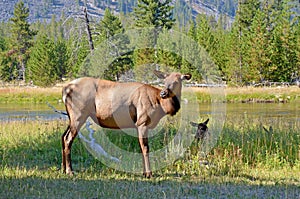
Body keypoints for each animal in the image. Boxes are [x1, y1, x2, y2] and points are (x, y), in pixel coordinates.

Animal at [61, 70, 191, 177]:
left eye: (176, 81)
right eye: (164, 81)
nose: (163, 93)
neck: (160, 106)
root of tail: (65, 89)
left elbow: (141, 147)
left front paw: (144, 172)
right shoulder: (142, 122)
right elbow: (145, 148)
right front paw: (148, 173)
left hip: (71, 117)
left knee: (63, 136)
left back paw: (63, 169)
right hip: (78, 114)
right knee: (68, 138)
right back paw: (69, 171)